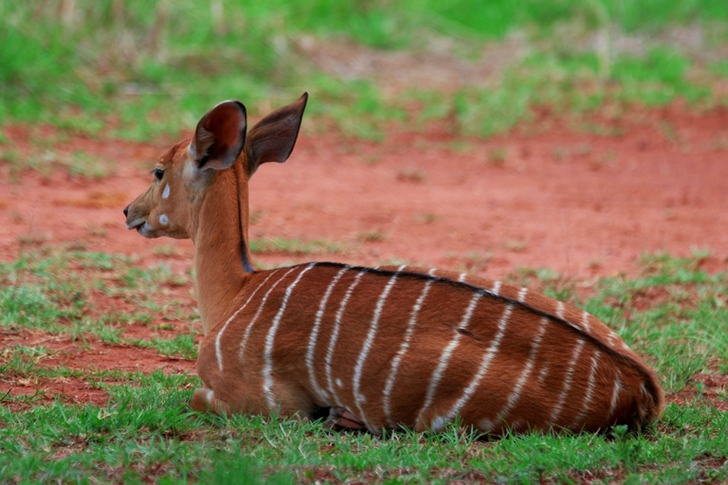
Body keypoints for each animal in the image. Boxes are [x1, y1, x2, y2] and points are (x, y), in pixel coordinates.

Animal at [123, 93, 663, 436]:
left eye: (158, 170)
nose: (129, 212)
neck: (237, 290)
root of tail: (642, 388)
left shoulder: (265, 403)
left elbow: (194, 397)